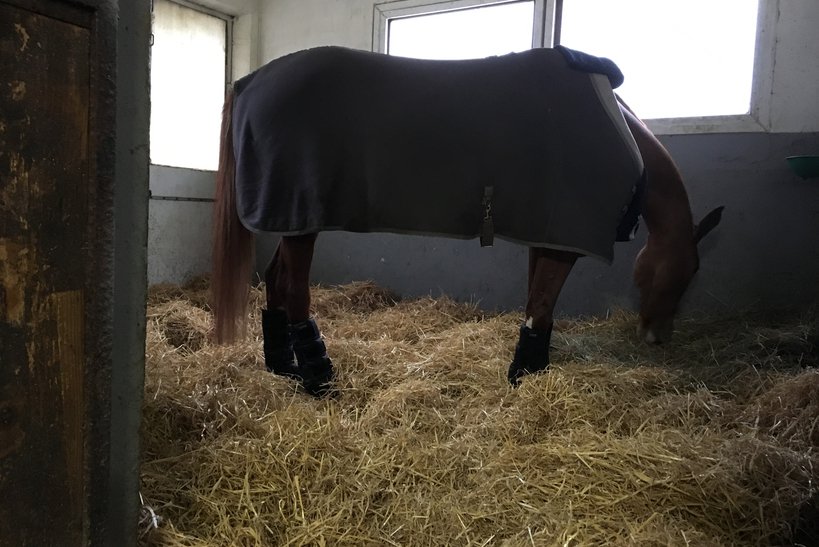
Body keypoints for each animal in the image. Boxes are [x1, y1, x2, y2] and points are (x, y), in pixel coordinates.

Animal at [211, 46, 723, 396]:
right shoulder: (565, 236)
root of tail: (250, 80)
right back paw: (320, 381)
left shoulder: (548, 234)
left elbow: (537, 301)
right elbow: (541, 304)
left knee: (275, 281)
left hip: (292, 222)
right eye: (689, 272)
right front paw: (522, 378)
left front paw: (530, 371)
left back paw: (284, 368)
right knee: (293, 289)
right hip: (302, 218)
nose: (657, 338)